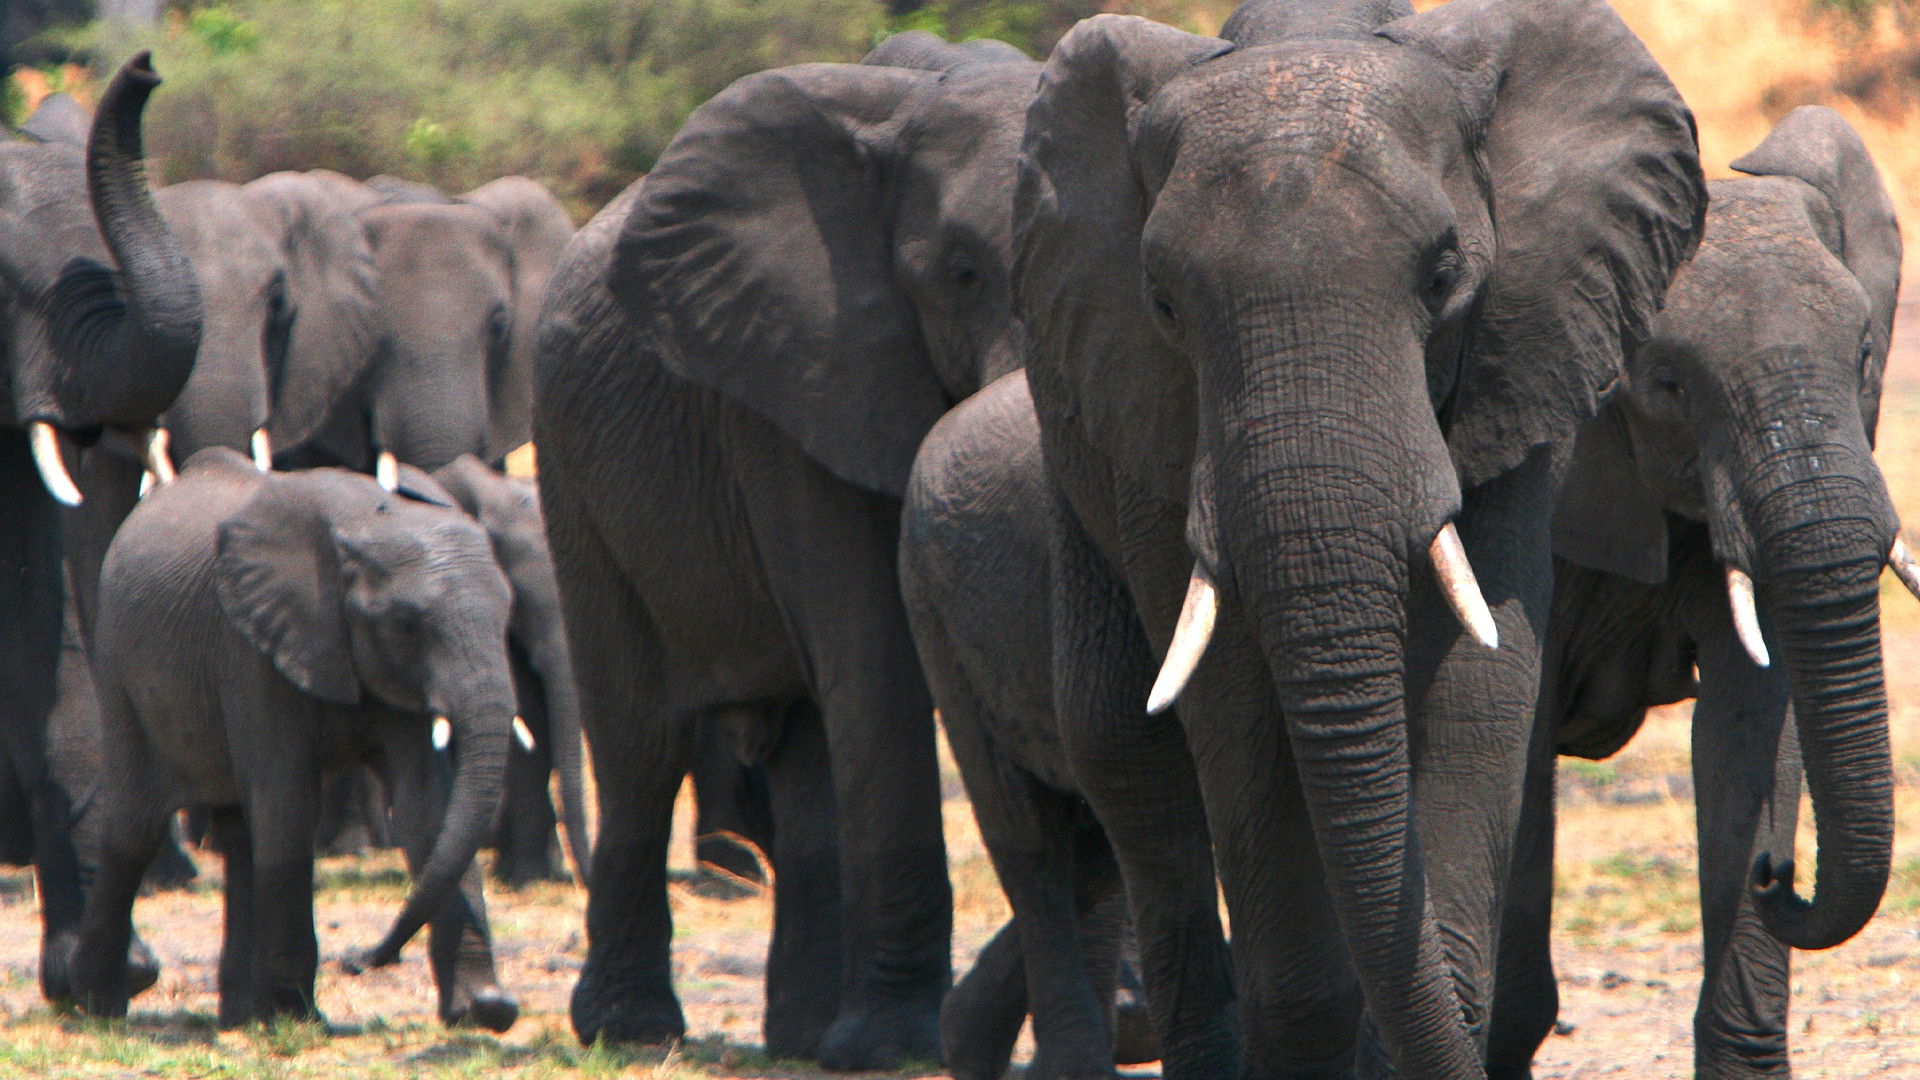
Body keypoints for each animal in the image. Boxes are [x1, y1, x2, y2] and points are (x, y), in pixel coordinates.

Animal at [72, 448, 520, 1031]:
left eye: (509, 612)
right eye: (406, 624)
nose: (358, 960)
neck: (369, 524)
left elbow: (428, 807)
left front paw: (486, 1011)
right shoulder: (250, 649)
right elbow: (288, 806)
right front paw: (294, 1017)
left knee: (240, 835)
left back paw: (239, 1017)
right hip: (119, 668)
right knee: (134, 831)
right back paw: (94, 1008)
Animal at [535, 31, 1039, 1068]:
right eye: (962, 273)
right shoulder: (794, 380)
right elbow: (878, 660)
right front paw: (896, 1047)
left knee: (807, 749)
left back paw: (804, 1037)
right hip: (571, 472)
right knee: (641, 743)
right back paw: (631, 1031)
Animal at [1011, 1, 1705, 1076]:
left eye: (1445, 274)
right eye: (1163, 302)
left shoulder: (1526, 348)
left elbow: (1480, 675)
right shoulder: (1152, 408)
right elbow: (1234, 698)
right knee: (1127, 752)